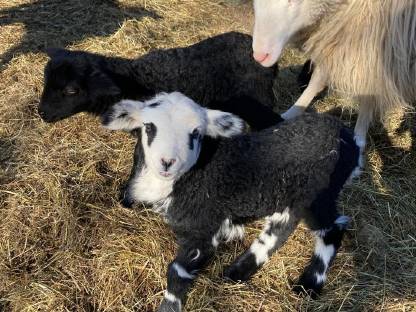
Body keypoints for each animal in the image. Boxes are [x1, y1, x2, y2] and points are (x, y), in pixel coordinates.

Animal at [101, 91, 360, 310]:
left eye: (196, 133)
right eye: (148, 127)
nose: (167, 162)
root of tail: (348, 139)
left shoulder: (205, 227)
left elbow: (178, 270)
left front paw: (169, 307)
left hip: (316, 194)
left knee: (332, 229)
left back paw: (309, 284)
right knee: (279, 227)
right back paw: (237, 272)